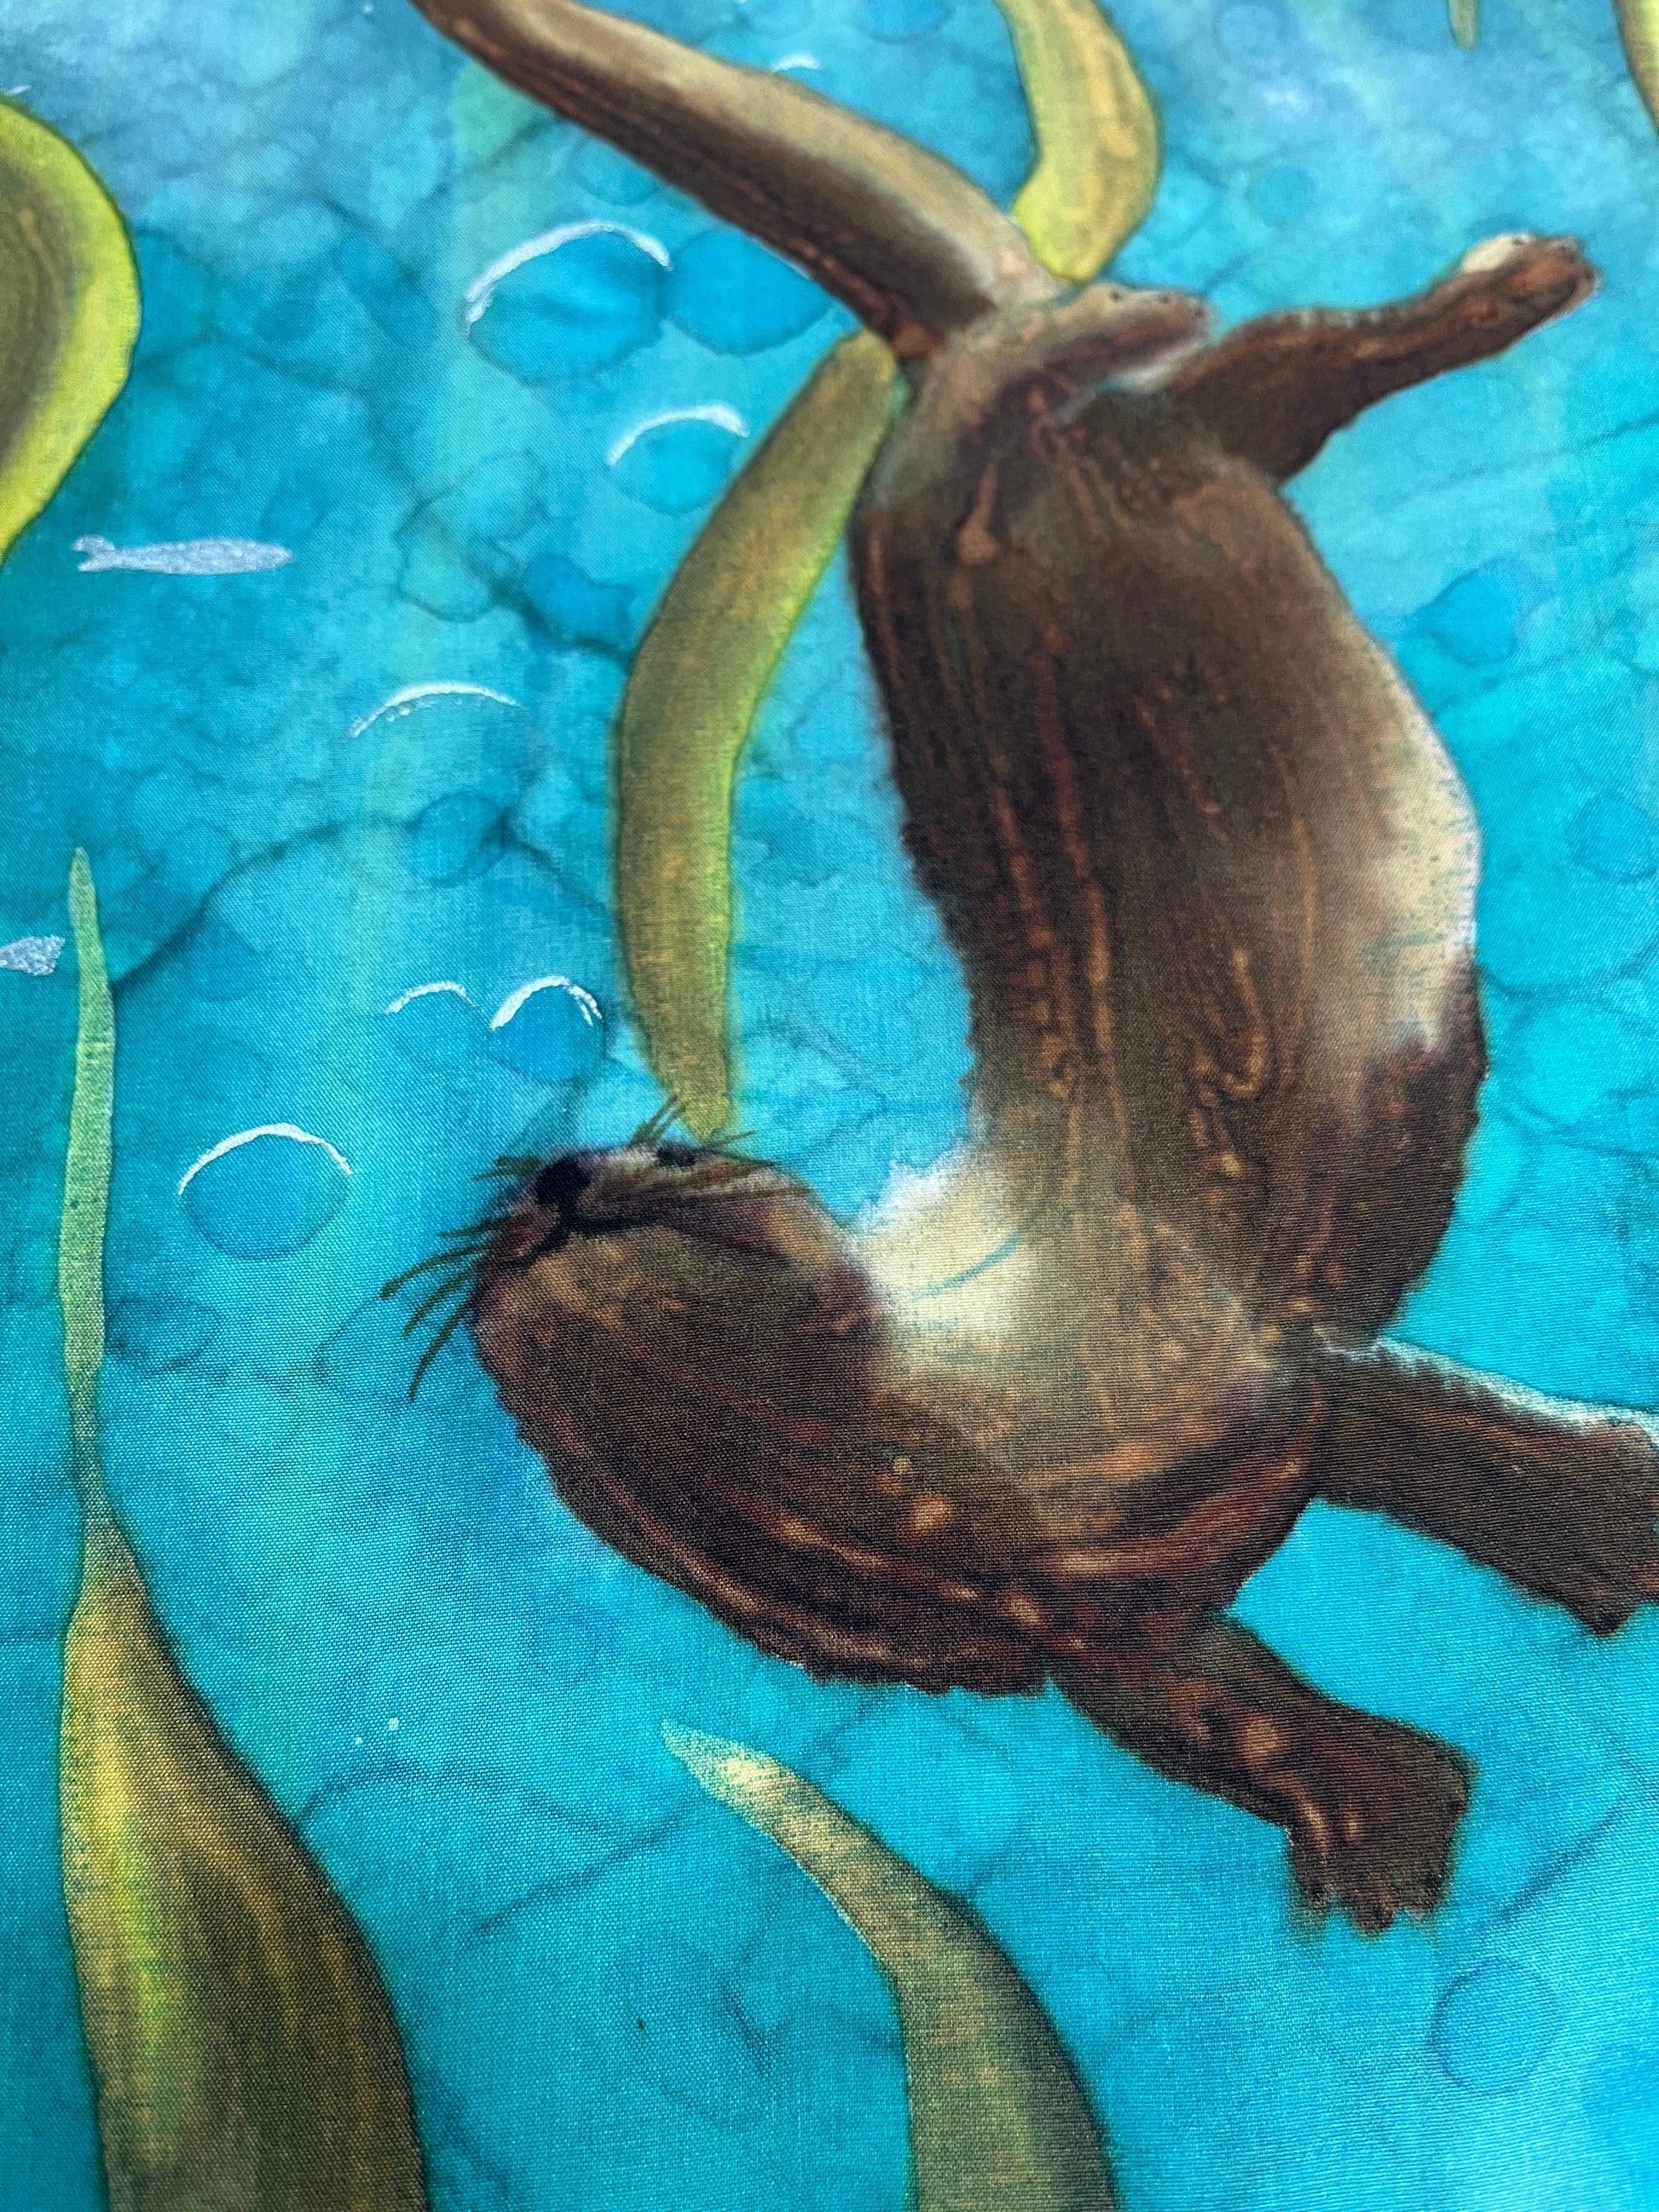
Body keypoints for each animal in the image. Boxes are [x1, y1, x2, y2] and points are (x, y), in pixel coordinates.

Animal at [404, 0, 1659, 1930]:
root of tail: (918, 403)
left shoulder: (1252, 1364)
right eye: (537, 1234)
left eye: (627, 1178)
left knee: (1170, 352)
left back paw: (1455, 277)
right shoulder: (1114, 1617)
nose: (553, 1174)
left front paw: (1616, 1511)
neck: (1007, 1459)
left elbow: (1426, 1420)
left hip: (1012, 483)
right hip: (1046, 490)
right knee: (1213, 382)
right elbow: (1218, 1702)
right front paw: (1371, 1813)